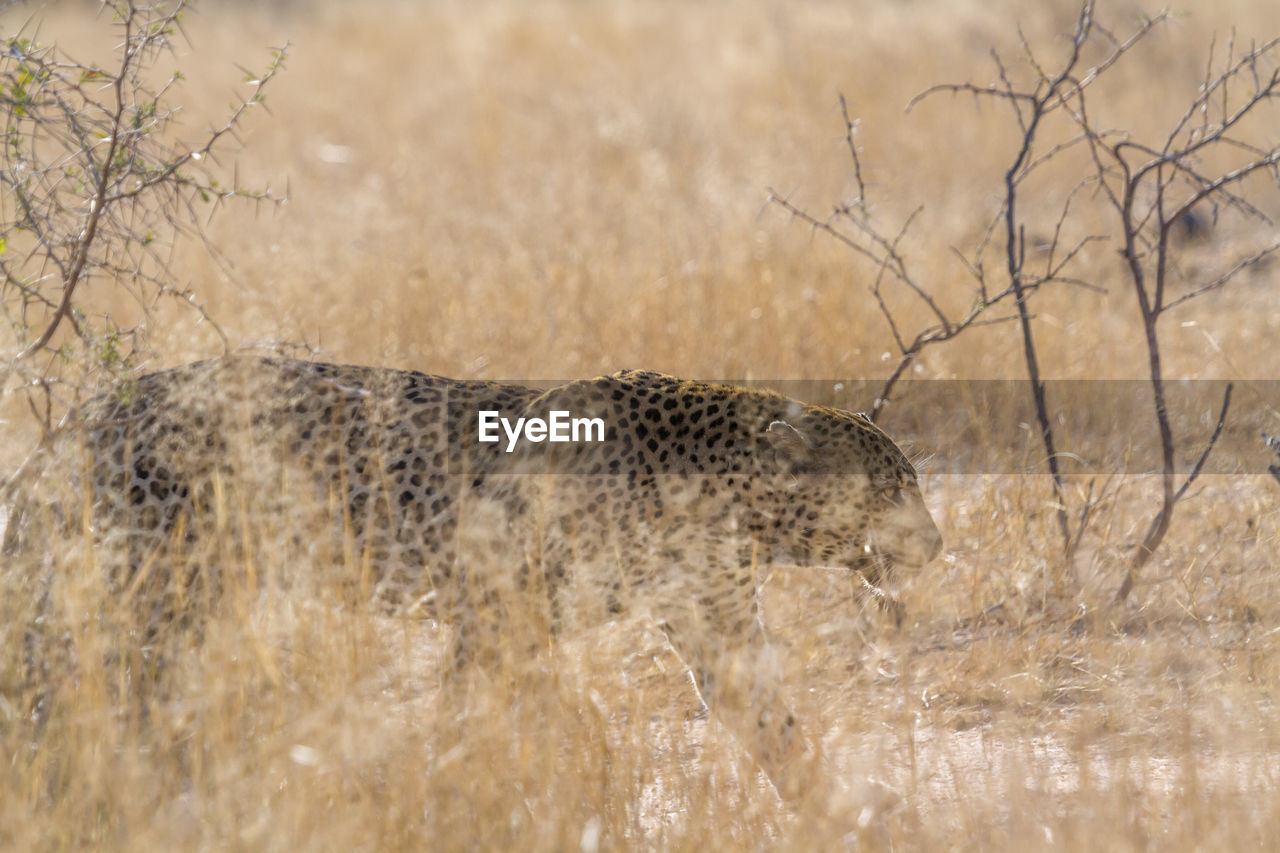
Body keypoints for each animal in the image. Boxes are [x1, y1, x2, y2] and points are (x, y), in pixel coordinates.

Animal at [2, 356, 942, 794]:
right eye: (896, 485)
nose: (937, 543)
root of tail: (93, 407)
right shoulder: (496, 609)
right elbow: (468, 708)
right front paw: (454, 779)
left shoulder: (714, 618)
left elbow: (773, 721)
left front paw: (844, 809)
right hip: (157, 585)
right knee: (78, 682)